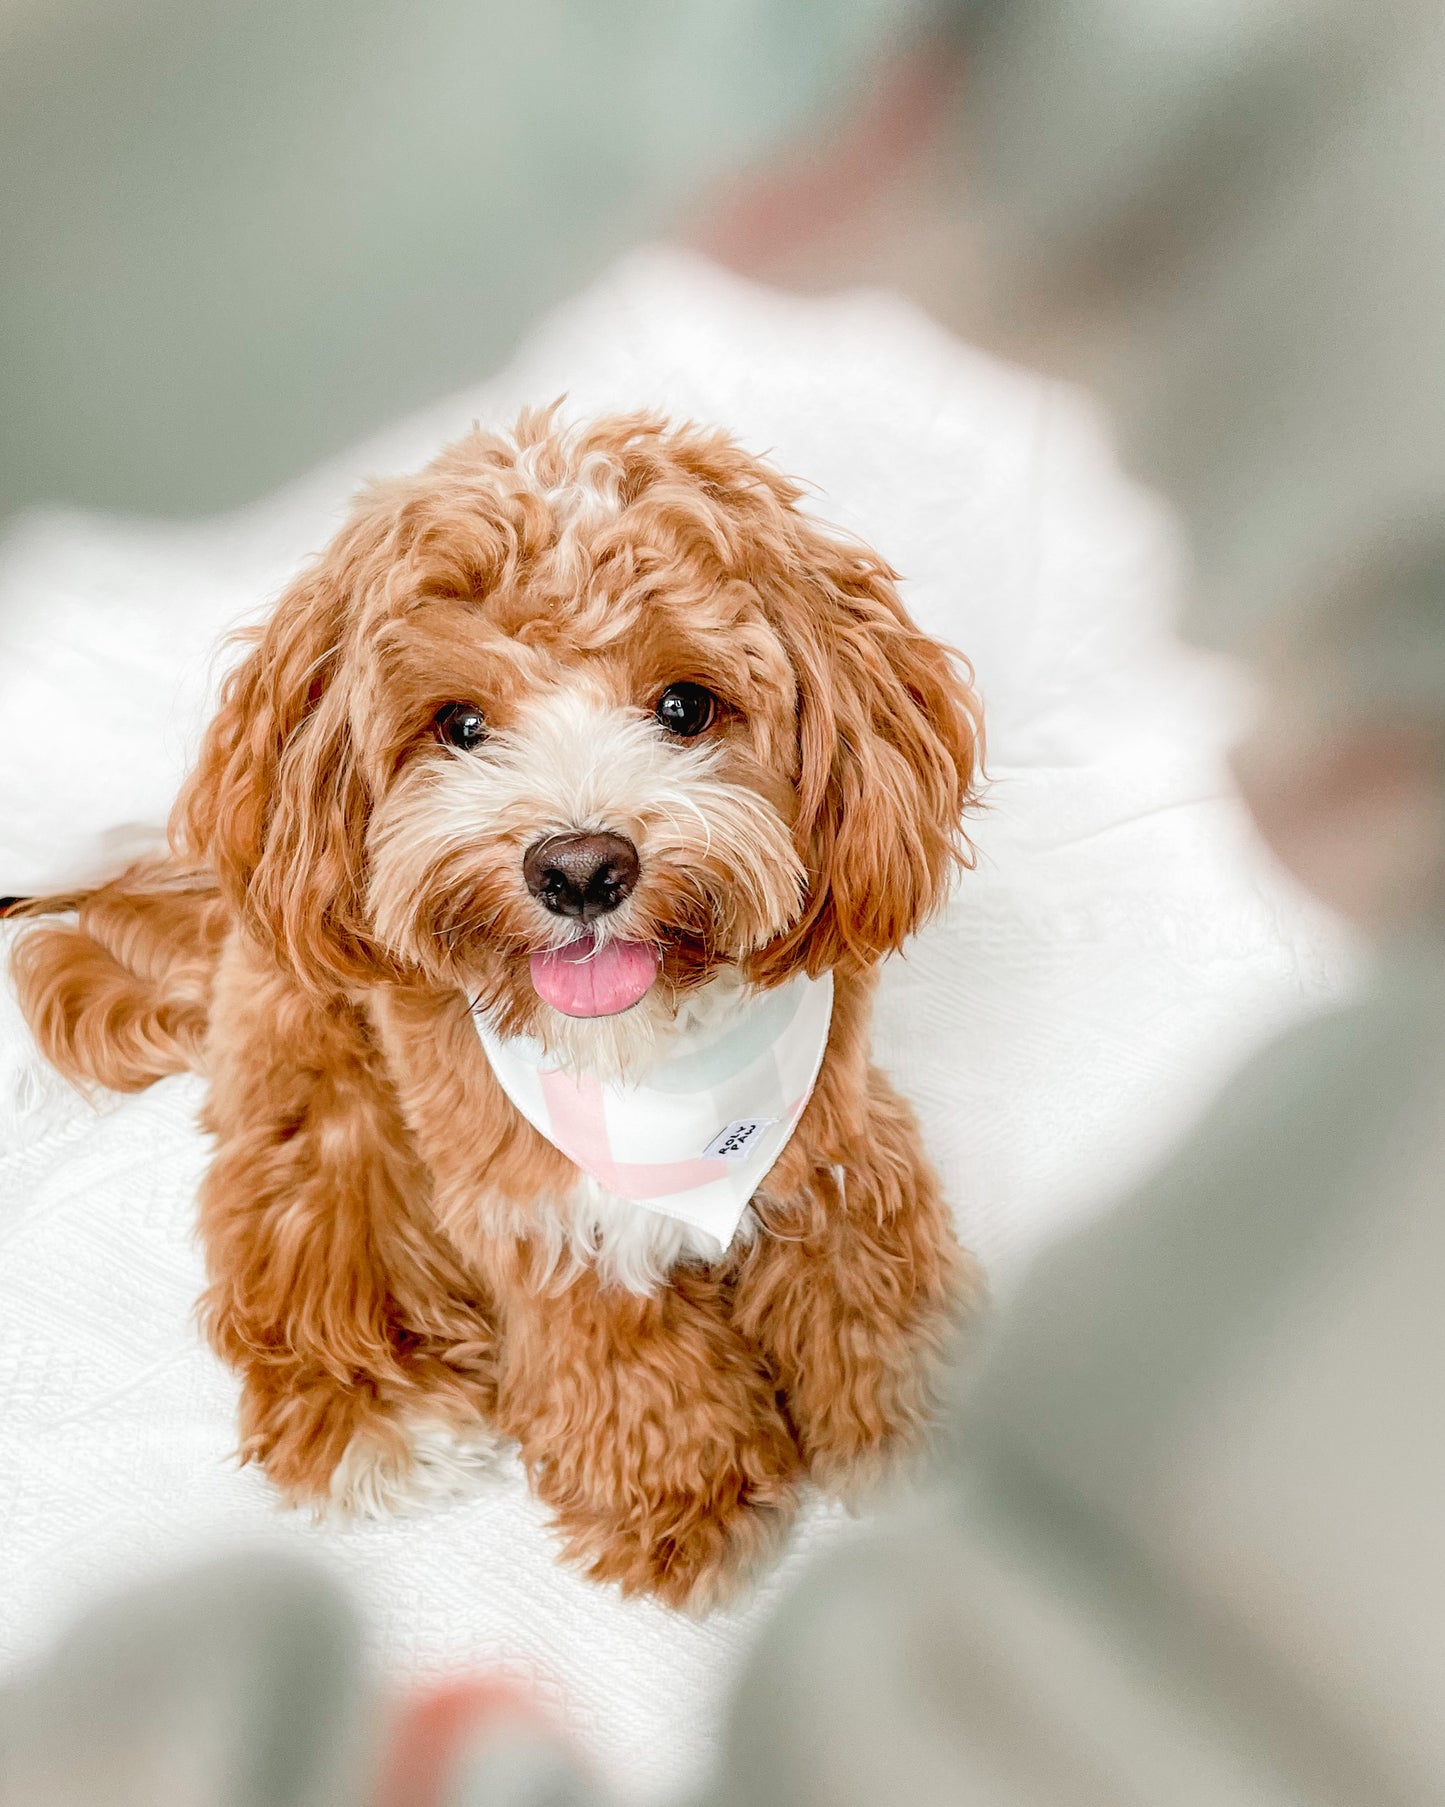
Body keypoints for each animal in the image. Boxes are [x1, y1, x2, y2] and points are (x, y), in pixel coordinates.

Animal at [11, 413, 982, 1611]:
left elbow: (868, 1287)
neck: (640, 1070)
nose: (581, 869)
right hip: (317, 1067)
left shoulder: (836, 1138)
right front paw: (674, 1485)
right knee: (299, 1209)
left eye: (684, 705)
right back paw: (370, 1413)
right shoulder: (532, 1202)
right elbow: (608, 1338)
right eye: (460, 723)